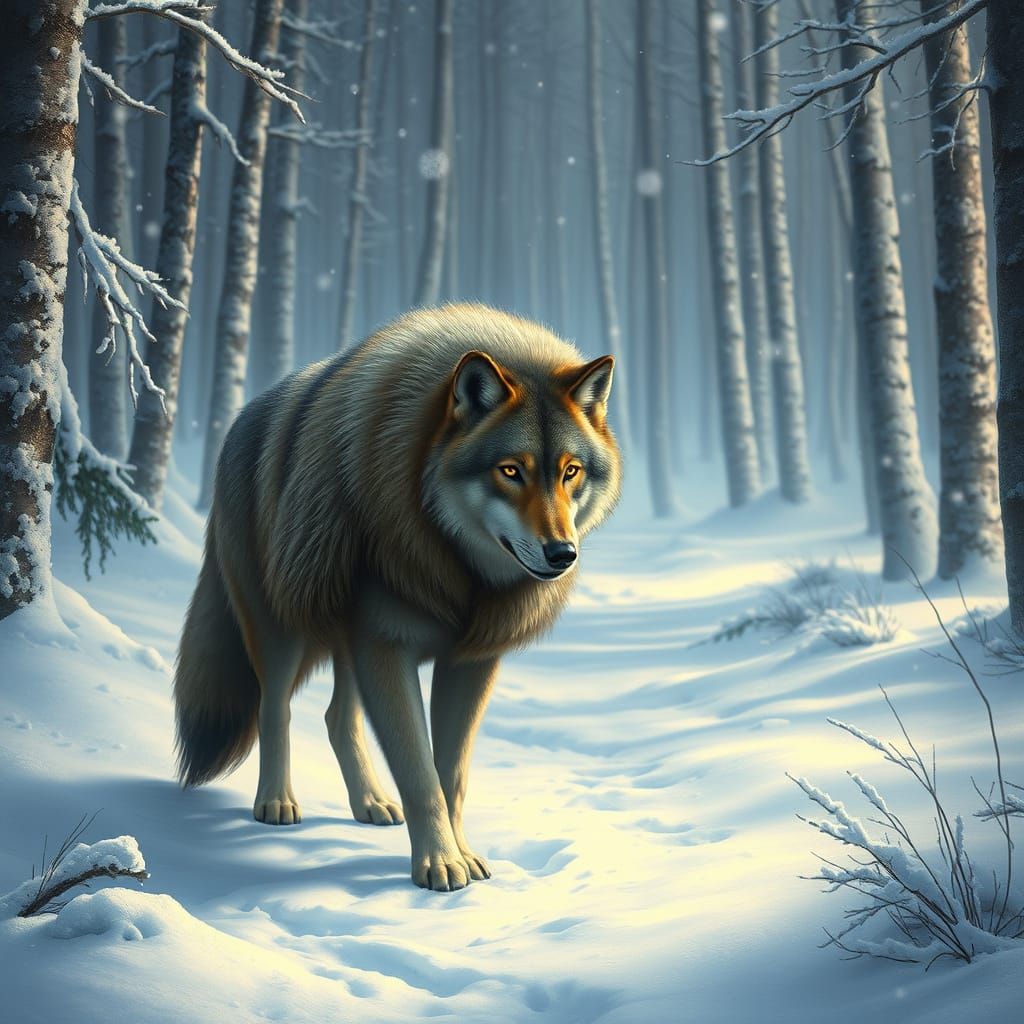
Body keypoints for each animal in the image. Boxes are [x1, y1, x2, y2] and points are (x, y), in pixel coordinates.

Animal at [174, 303, 621, 891]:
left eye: (570, 471)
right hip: (281, 628)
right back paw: (276, 802)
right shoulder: (387, 647)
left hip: (346, 643)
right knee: (276, 711)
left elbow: (451, 773)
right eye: (510, 471)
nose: (561, 553)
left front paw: (463, 854)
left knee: (337, 718)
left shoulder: (470, 659)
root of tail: (243, 417)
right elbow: (419, 771)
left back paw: (369, 803)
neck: (457, 573)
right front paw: (440, 865)